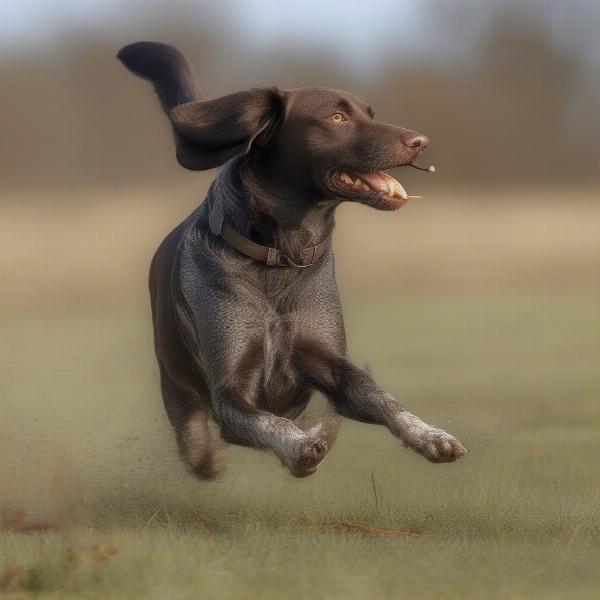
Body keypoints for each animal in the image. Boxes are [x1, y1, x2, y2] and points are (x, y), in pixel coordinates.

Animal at [116, 42, 464, 480]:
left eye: (370, 113)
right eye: (337, 117)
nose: (421, 141)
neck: (280, 258)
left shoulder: (332, 364)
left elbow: (382, 398)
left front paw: (431, 435)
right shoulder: (229, 391)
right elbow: (269, 421)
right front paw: (300, 447)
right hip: (178, 391)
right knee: (199, 449)